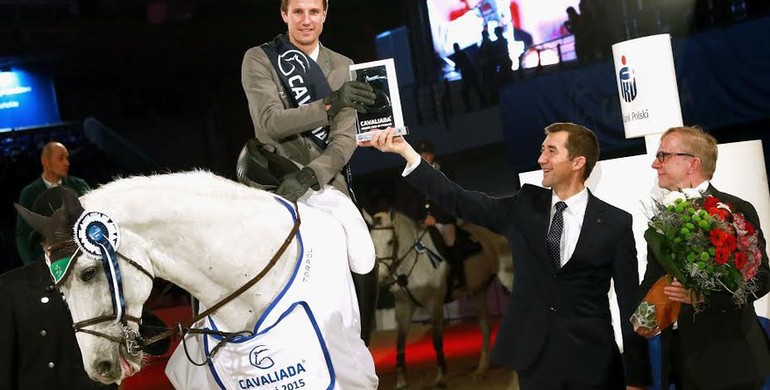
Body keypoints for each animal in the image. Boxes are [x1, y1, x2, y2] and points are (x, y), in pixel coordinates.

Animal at [364, 210, 510, 390]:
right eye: (371, 241)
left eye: (390, 241)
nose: (382, 277)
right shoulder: (403, 305)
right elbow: (400, 343)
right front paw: (401, 382)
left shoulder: (434, 304)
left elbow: (437, 340)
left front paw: (441, 377)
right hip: (478, 292)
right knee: (485, 326)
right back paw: (481, 369)